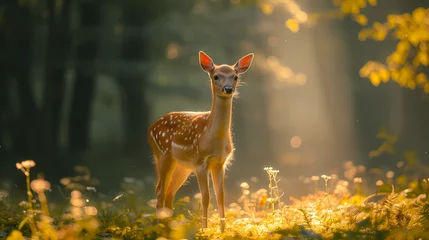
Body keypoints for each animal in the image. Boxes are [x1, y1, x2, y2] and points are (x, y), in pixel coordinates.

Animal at [148, 51, 254, 232]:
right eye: (216, 76)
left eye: (235, 77)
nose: (228, 89)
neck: (212, 139)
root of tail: (150, 128)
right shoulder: (200, 163)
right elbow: (205, 197)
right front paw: (204, 229)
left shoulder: (219, 163)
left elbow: (221, 196)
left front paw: (223, 230)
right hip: (163, 155)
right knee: (160, 190)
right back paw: (159, 229)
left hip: (182, 166)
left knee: (170, 192)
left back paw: (169, 229)